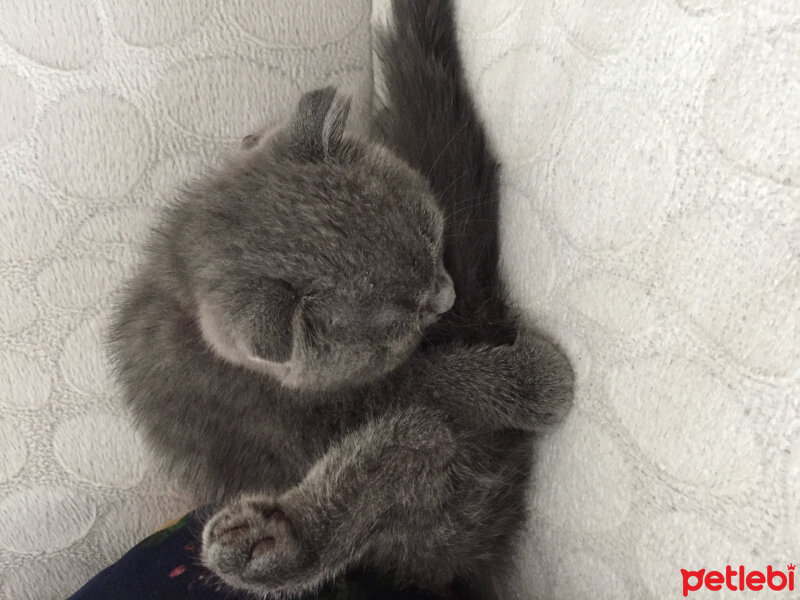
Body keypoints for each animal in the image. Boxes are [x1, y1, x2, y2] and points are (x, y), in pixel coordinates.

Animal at [109, 2, 572, 596]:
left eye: (432, 235)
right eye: (399, 319)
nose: (446, 296)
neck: (180, 297)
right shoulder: (336, 405)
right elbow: (438, 383)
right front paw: (531, 383)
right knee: (418, 439)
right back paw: (269, 547)